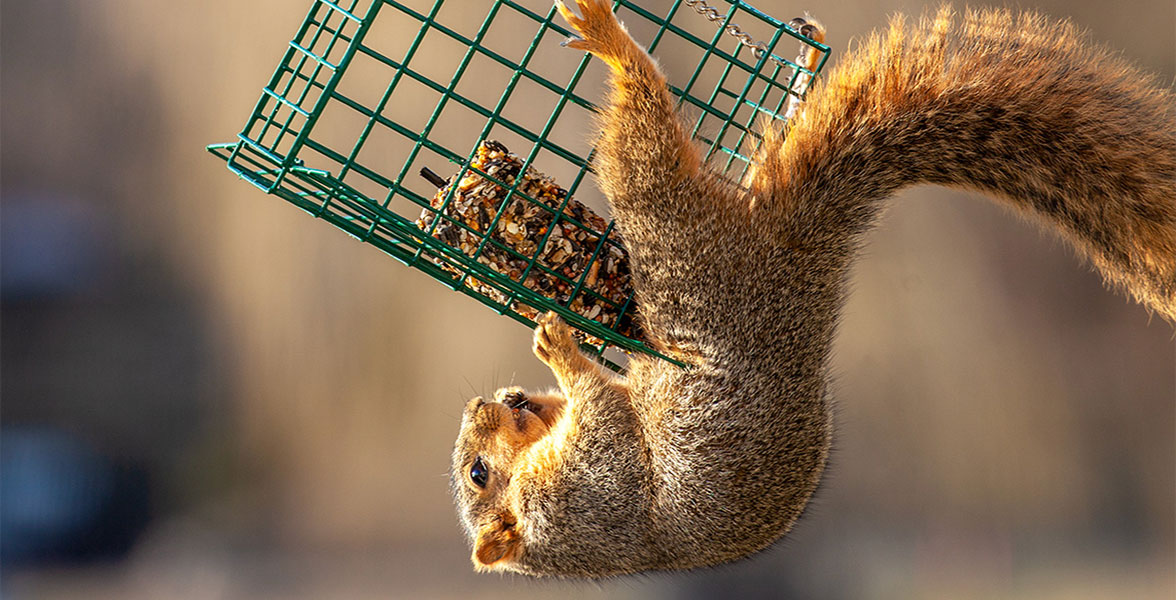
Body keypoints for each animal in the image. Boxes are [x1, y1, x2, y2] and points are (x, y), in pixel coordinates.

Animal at [451, 0, 1176, 578]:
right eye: (476, 474)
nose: (485, 401)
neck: (548, 526)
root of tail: (796, 256)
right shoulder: (592, 488)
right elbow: (606, 417)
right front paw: (559, 351)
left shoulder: (589, 485)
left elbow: (603, 403)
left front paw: (551, 355)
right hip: (690, 260)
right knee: (650, 155)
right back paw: (618, 44)